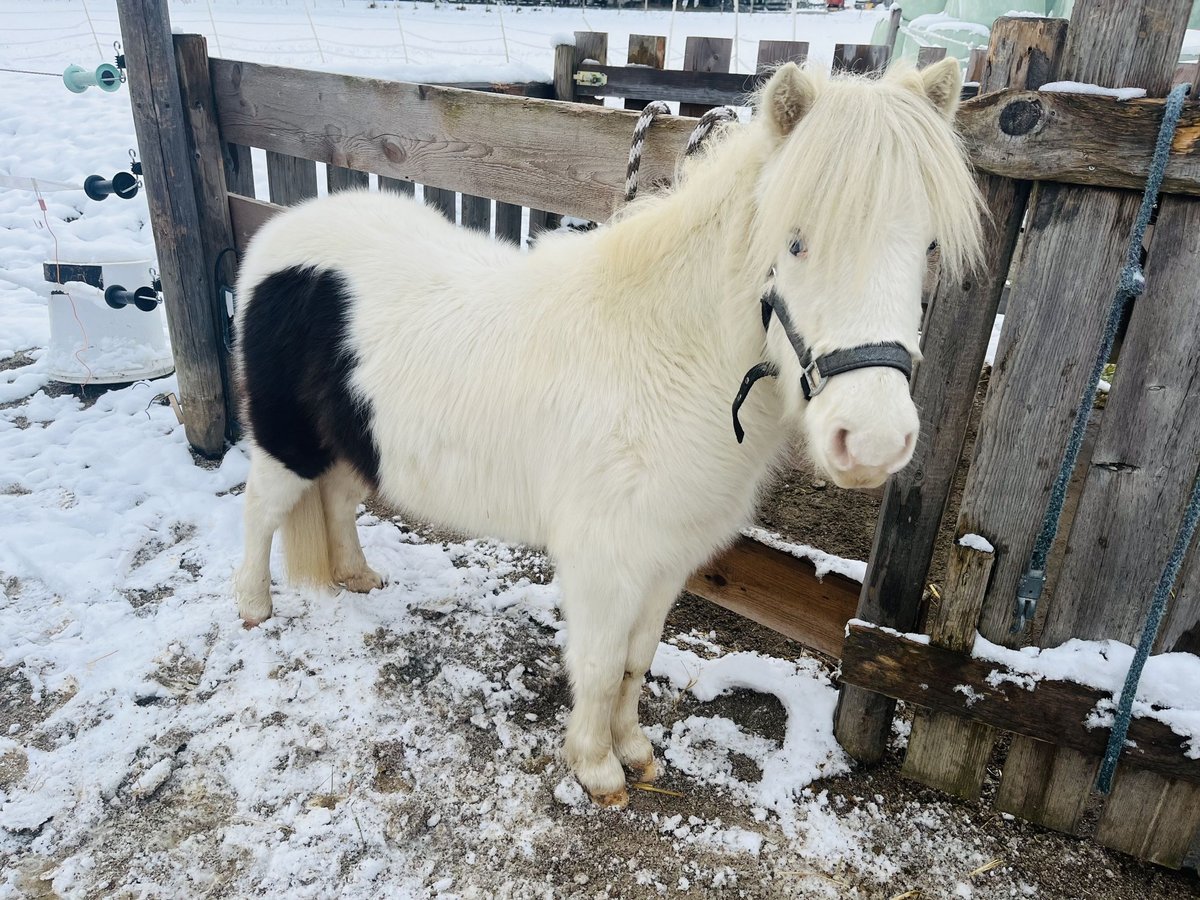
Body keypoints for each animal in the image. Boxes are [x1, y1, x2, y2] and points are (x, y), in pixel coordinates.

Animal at [234, 65, 984, 811]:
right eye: (796, 241)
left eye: (928, 247)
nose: (874, 441)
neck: (665, 357)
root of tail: (279, 237)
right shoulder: (603, 559)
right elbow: (597, 664)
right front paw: (596, 770)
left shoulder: (666, 559)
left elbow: (635, 659)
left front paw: (636, 752)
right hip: (285, 442)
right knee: (262, 512)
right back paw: (253, 609)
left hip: (350, 438)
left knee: (336, 501)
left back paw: (357, 578)